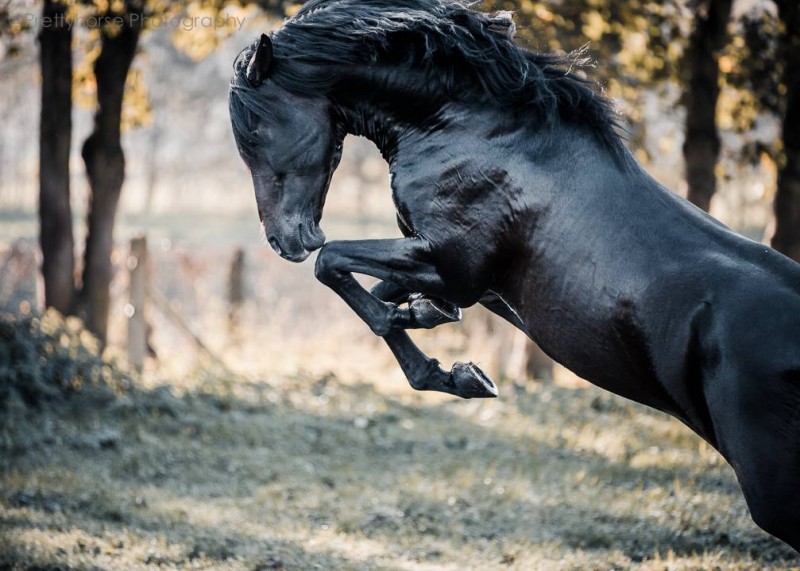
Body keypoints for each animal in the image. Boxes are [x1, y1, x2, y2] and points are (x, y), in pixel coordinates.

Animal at [228, 0, 796, 556]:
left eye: (253, 131)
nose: (284, 241)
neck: (469, 129)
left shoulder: (452, 265)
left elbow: (337, 267)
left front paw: (445, 359)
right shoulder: (461, 277)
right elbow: (383, 294)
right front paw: (441, 344)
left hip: (771, 488)